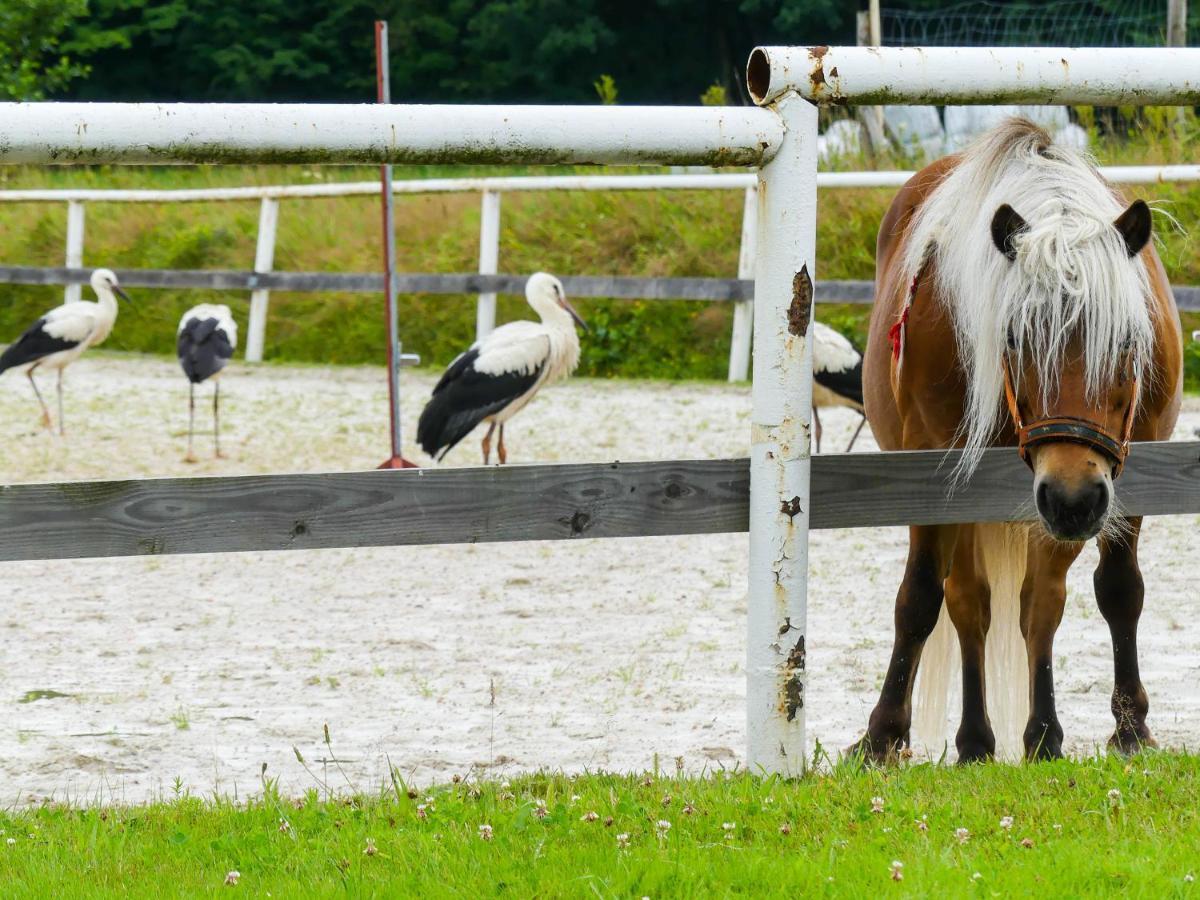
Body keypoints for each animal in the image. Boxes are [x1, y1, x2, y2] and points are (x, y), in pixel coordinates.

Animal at [854, 120, 1180, 763]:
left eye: (1126, 339)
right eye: (1013, 336)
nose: (1074, 498)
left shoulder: (1119, 473)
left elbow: (1099, 594)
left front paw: (1117, 728)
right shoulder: (935, 475)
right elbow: (922, 597)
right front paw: (882, 734)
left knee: (1033, 603)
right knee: (966, 603)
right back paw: (975, 739)